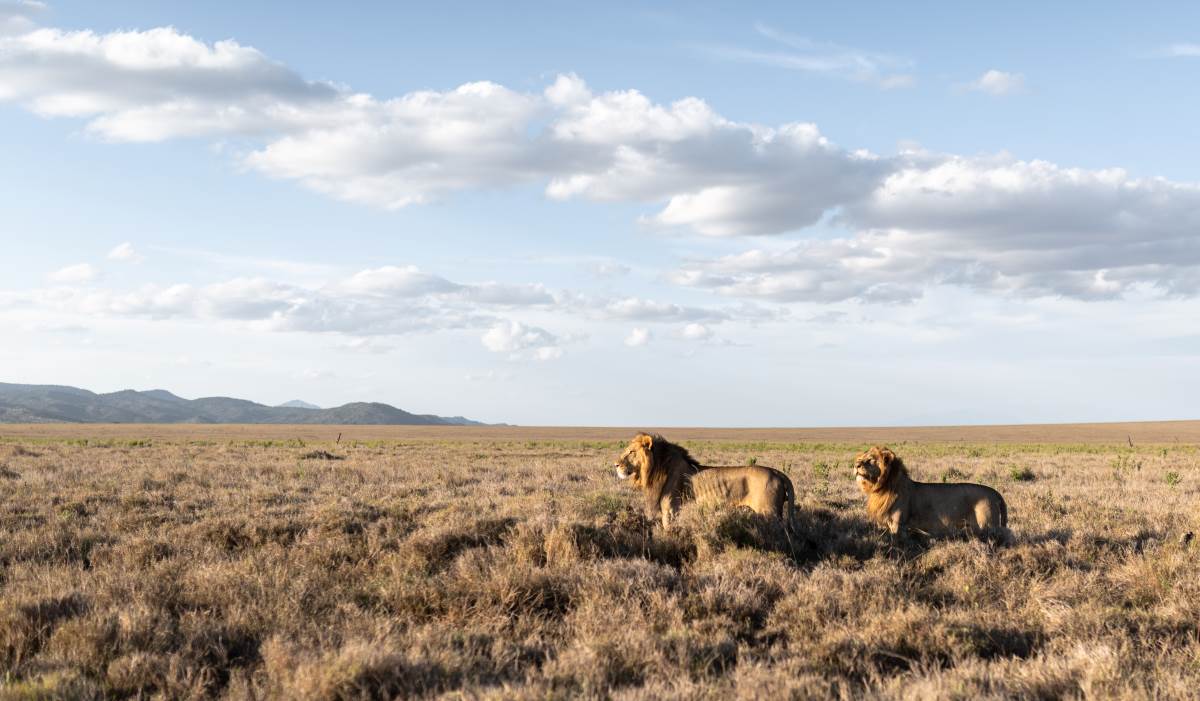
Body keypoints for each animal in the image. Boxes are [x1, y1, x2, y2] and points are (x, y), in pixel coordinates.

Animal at [613, 432, 795, 527]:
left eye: (631, 452)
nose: (615, 464)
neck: (656, 468)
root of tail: (777, 472)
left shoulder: (671, 511)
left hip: (769, 513)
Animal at [854, 446, 1008, 541]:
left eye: (870, 460)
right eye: (861, 458)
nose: (856, 465)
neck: (881, 487)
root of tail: (994, 492)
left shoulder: (898, 524)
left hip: (987, 526)